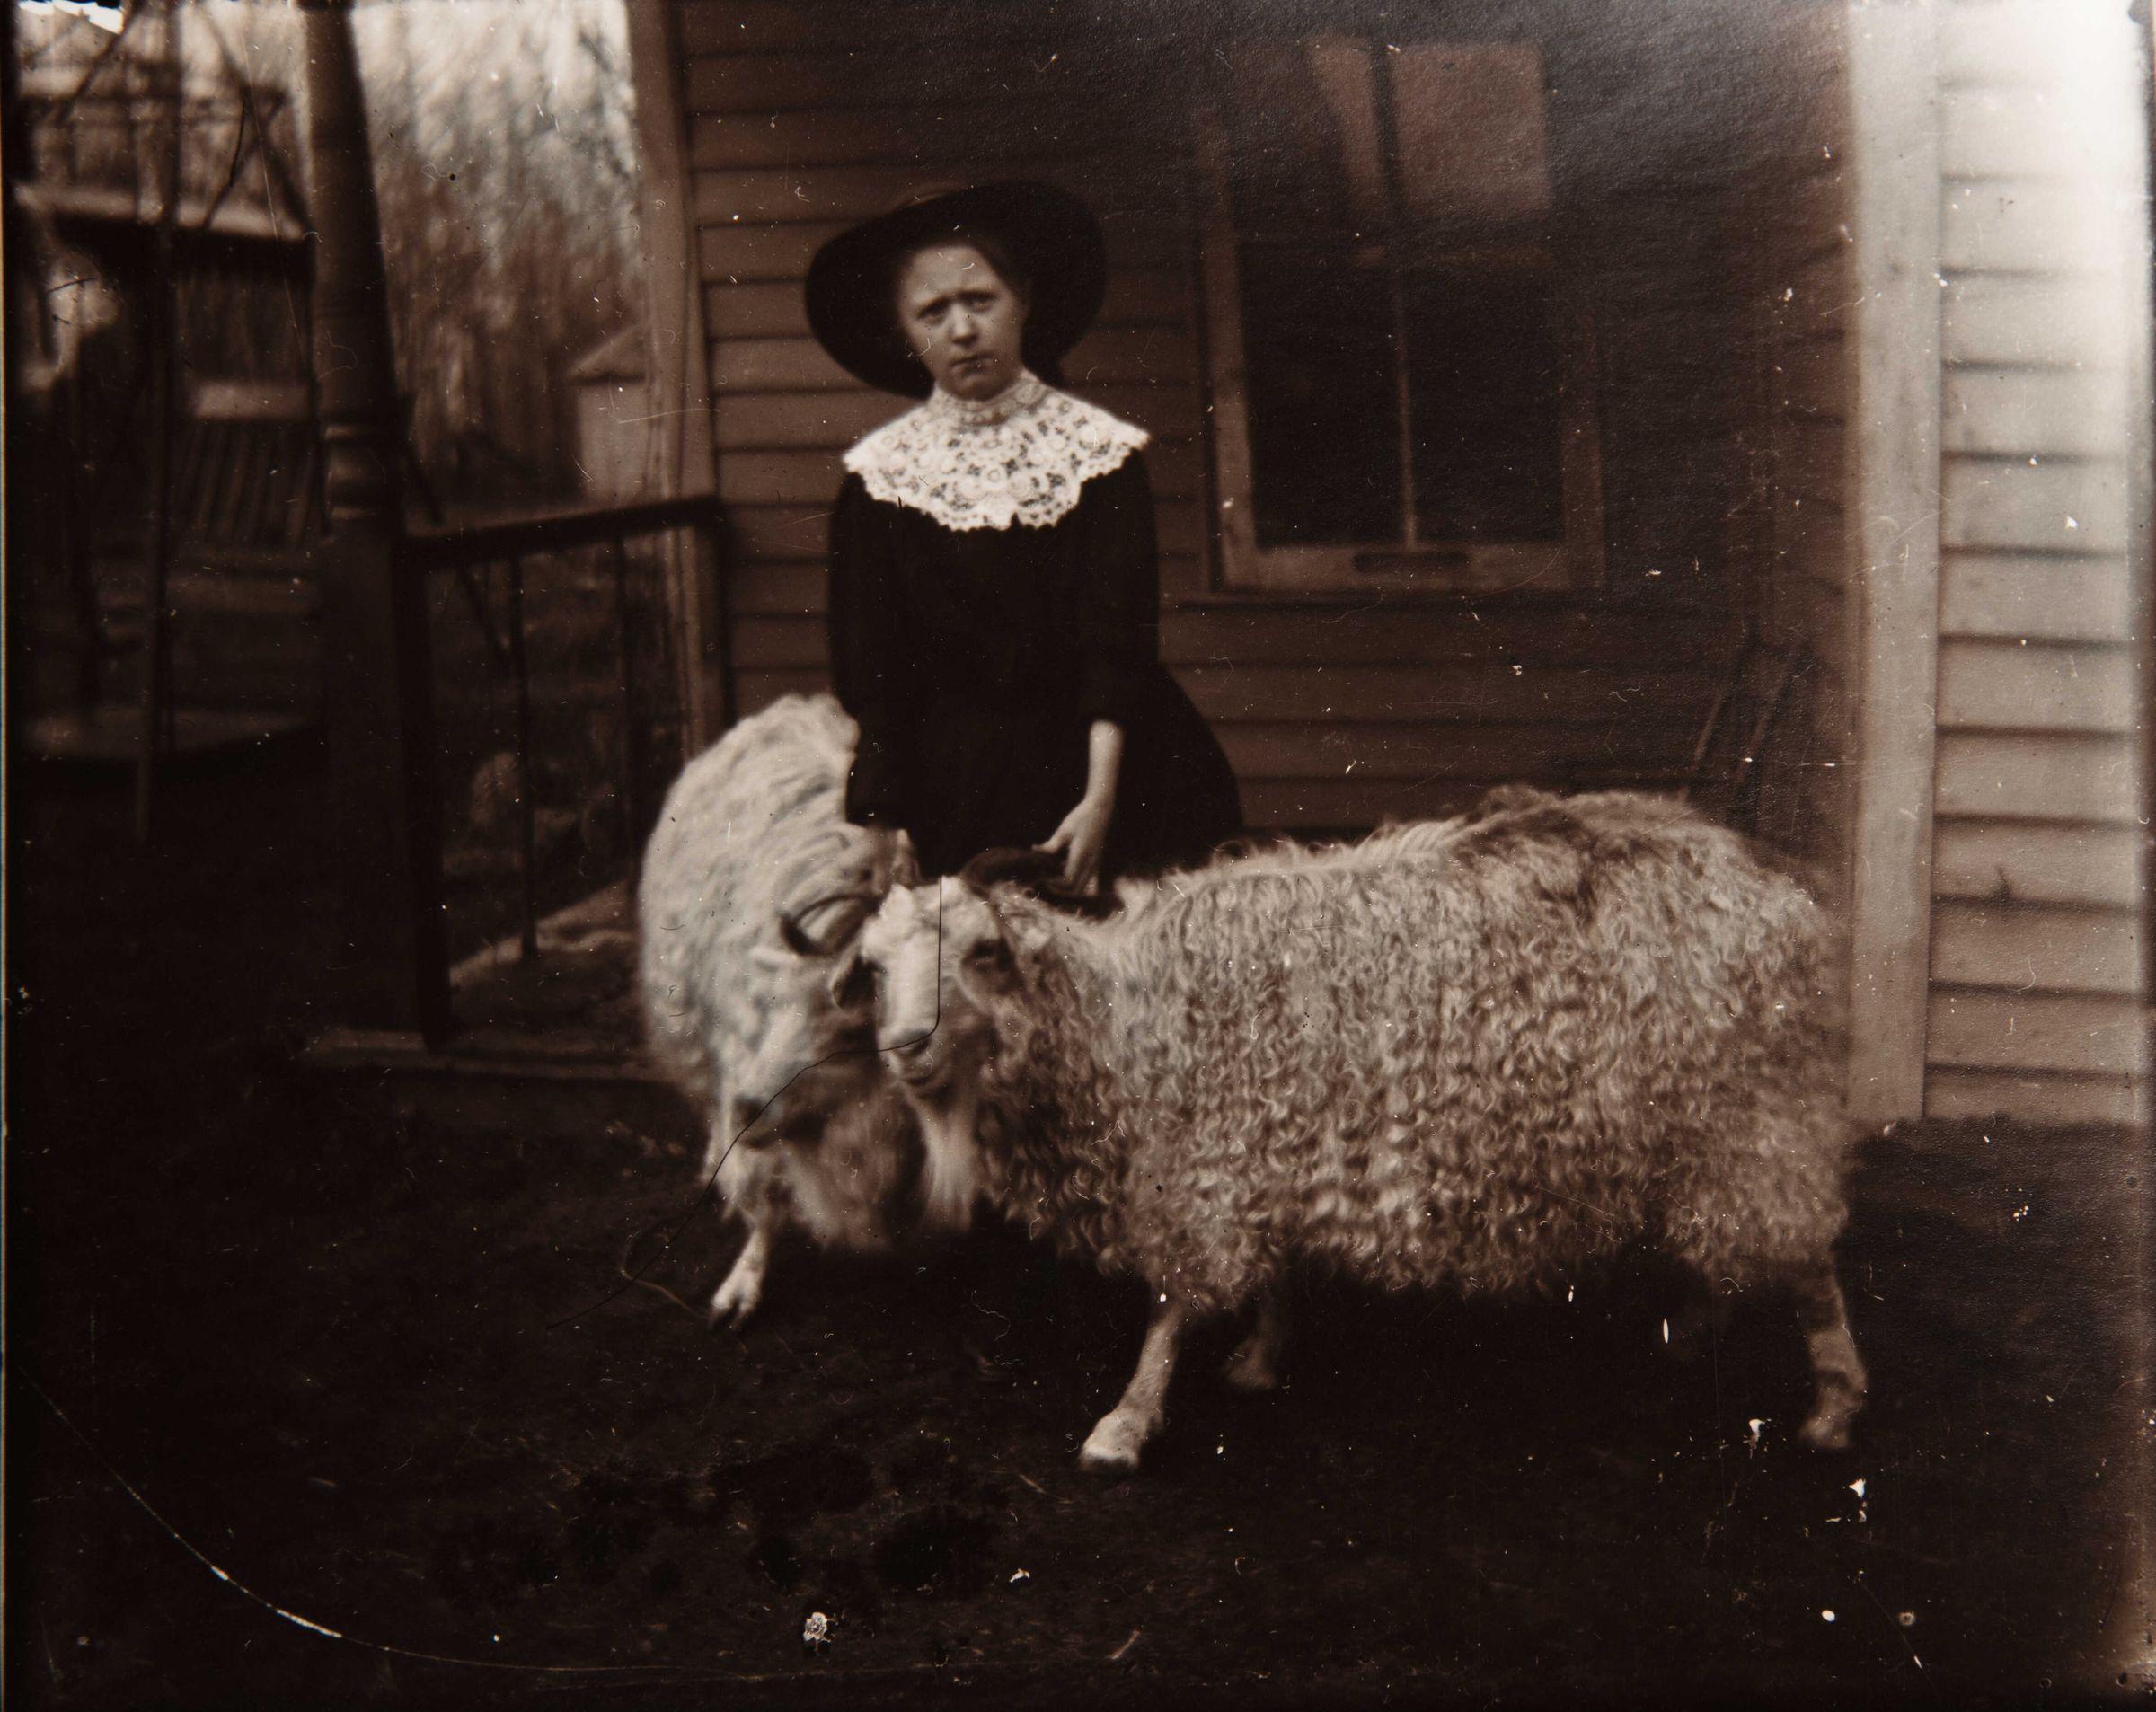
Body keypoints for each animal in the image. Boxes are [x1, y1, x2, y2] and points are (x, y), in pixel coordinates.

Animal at [637, 693, 924, 1324]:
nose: (748, 1107)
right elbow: (758, 1192)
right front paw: (744, 1281)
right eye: (779, 1005)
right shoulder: (741, 1050)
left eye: (852, 1036)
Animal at [849, 790, 1866, 1471]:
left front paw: (1124, 1423)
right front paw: (1262, 1358)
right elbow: (1271, 1274)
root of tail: (1785, 897)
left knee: (1807, 1257)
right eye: (874, 966)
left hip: (1752, 1114)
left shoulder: (1200, 1166)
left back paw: (1832, 1404)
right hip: (1702, 1130)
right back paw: (1697, 1327)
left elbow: (1172, 1306)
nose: (907, 1049)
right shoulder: (1268, 1145)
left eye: (984, 950)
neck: (1122, 1021)